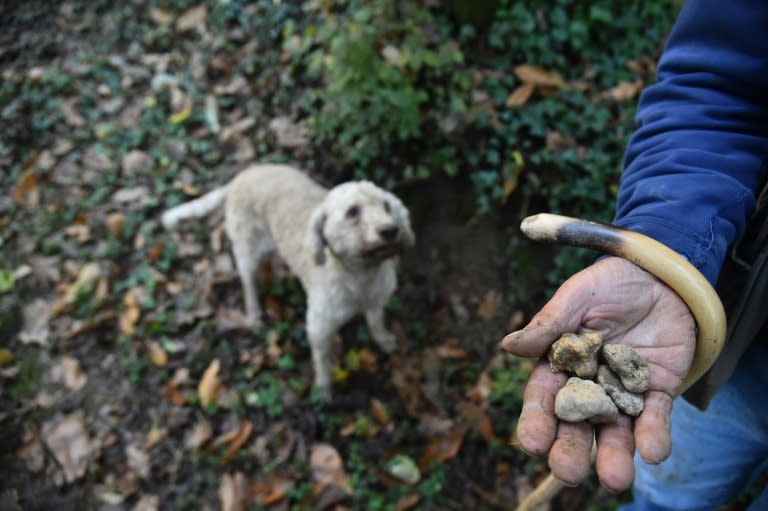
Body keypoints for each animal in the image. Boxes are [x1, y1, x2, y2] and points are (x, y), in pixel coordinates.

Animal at [162, 164, 414, 400]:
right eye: (352, 212)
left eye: (387, 206)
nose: (391, 230)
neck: (361, 276)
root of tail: (243, 175)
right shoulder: (319, 327)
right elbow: (322, 361)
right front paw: (324, 389)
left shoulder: (377, 302)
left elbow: (377, 324)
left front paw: (385, 340)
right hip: (247, 250)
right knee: (248, 281)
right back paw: (254, 310)